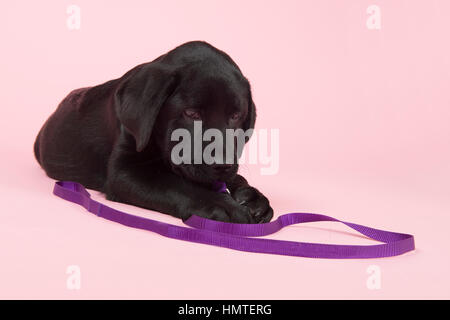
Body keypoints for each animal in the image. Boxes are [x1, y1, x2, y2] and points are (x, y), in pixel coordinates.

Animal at [33, 40, 272, 222]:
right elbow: (175, 185)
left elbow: (234, 178)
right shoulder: (125, 172)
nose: (222, 165)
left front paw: (252, 198)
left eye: (235, 115)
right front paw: (222, 205)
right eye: (191, 113)